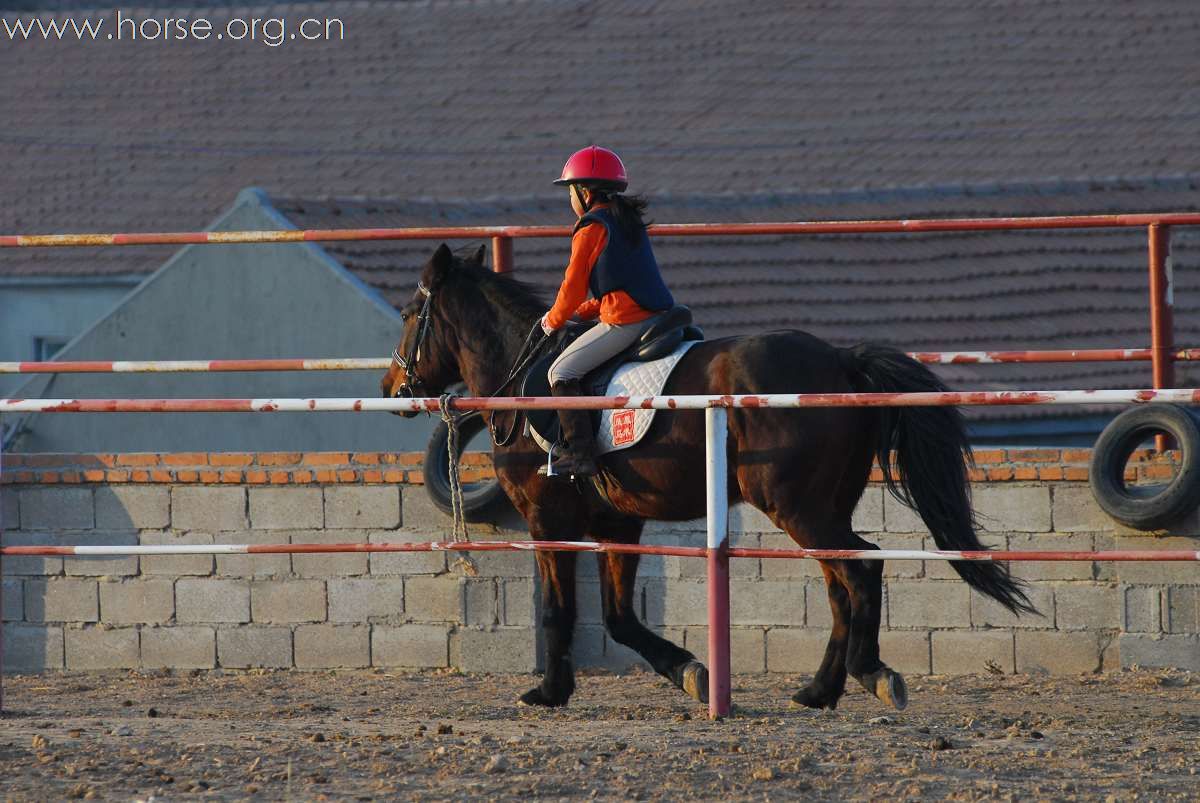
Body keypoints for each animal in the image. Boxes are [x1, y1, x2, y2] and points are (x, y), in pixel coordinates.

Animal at [381, 242, 1032, 705]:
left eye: (411, 314)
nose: (390, 389)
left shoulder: (549, 519)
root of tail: (842, 360)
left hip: (800, 509)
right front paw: (689, 672)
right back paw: (819, 690)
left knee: (861, 570)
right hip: (821, 510)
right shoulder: (618, 523)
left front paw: (549, 691)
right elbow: (619, 617)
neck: (525, 379)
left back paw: (867, 674)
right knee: (840, 586)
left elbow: (559, 610)